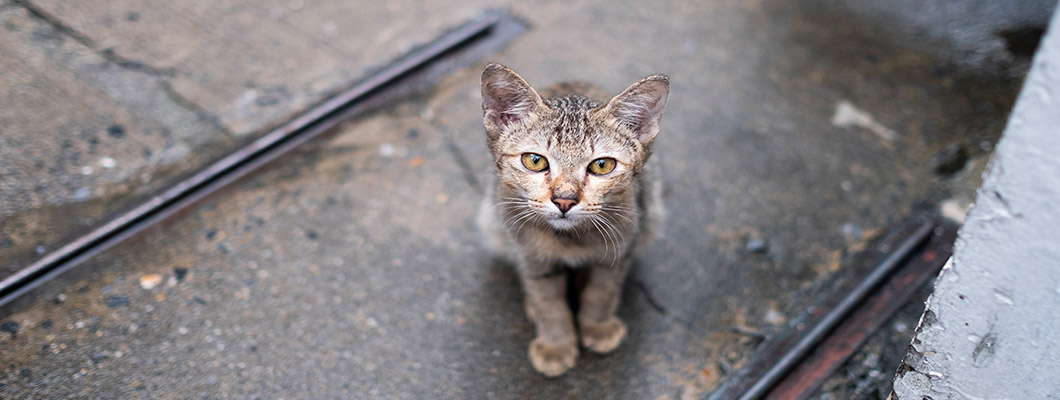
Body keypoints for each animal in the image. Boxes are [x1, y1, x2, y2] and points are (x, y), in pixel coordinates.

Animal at [476, 63, 665, 375]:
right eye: (535, 161)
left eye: (602, 165)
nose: (564, 200)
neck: (570, 239)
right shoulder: (531, 257)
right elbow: (548, 302)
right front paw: (556, 345)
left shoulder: (621, 247)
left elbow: (601, 292)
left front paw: (597, 326)